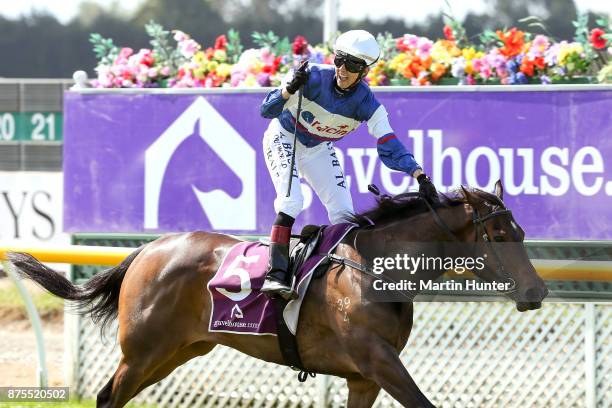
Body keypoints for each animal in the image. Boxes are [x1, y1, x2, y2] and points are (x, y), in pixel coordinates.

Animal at [7, 182, 548, 408]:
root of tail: (146, 250)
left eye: (522, 231)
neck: (372, 268)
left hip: (177, 351)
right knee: (106, 397)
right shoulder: (377, 360)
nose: (537, 291)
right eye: (500, 235)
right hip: (143, 352)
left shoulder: (363, 378)